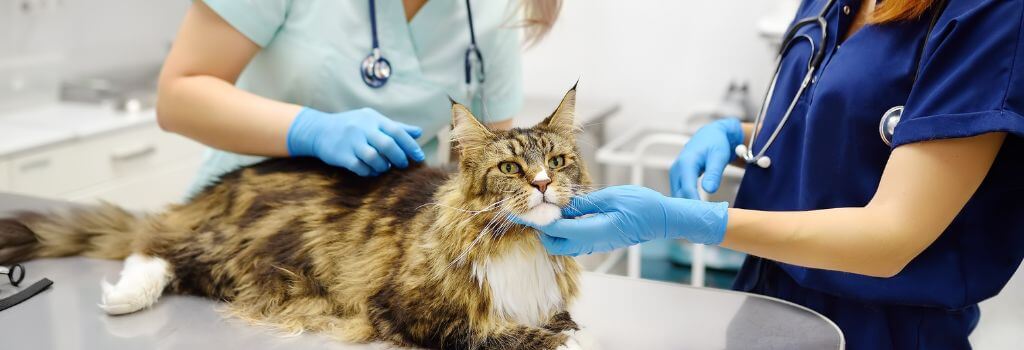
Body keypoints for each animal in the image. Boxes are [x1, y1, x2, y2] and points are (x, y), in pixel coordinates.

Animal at [0, 85, 598, 350]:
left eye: (558, 162)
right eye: (511, 168)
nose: (543, 184)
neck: (518, 244)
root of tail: (221, 187)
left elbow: (555, 322)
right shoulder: (409, 310)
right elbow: (510, 336)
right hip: (233, 256)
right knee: (153, 246)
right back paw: (125, 297)